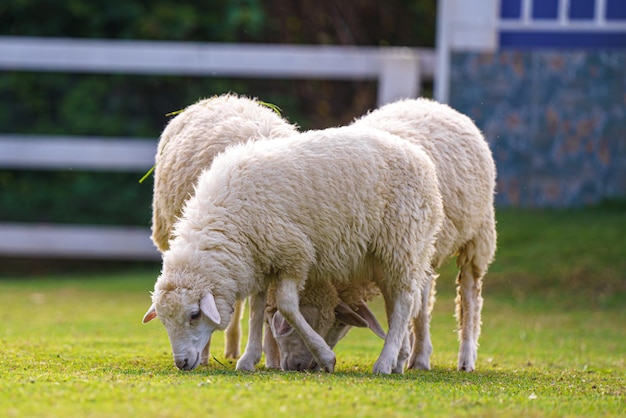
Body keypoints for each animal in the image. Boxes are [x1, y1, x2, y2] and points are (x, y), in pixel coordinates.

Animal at [141, 125, 444, 374]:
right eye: (165, 321)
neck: (225, 218)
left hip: (401, 242)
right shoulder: (260, 259)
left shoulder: (294, 253)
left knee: (405, 302)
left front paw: (325, 356)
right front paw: (249, 359)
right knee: (397, 304)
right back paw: (397, 360)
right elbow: (257, 309)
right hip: (382, 257)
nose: (181, 363)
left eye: (194, 314)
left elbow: (287, 306)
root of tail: (423, 160)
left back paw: (385, 362)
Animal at [352, 98, 498, 372]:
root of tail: (432, 103)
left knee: (470, 297)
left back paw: (466, 357)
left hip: (477, 235)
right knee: (423, 302)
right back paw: (420, 356)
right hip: (425, 247)